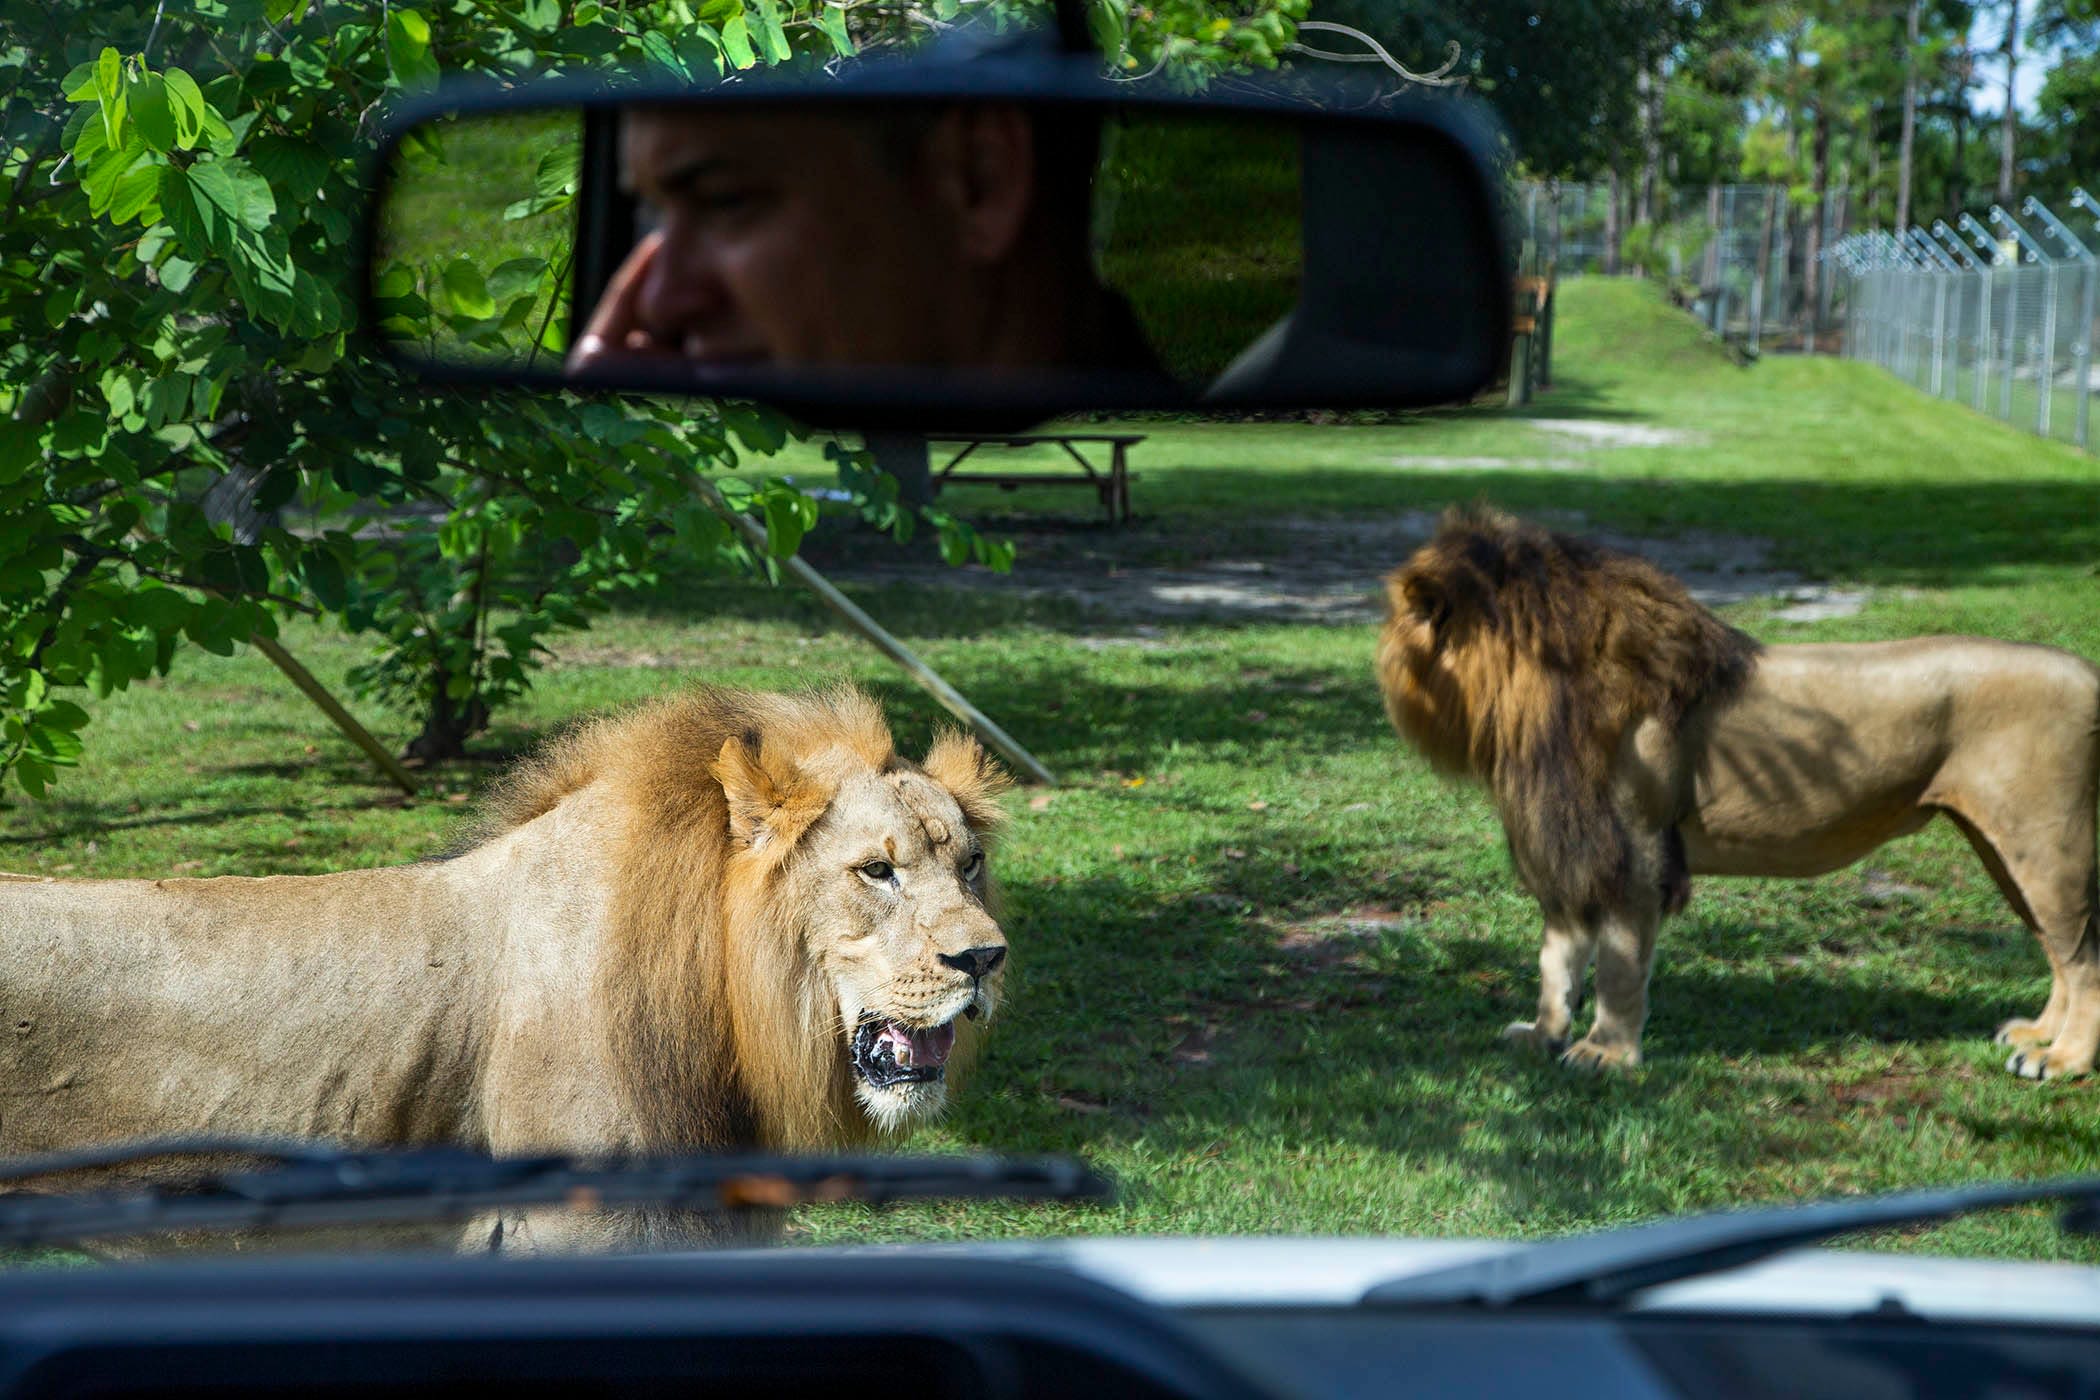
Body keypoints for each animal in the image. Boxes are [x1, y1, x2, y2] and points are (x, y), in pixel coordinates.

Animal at [1377, 510, 2100, 1083]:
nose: (1378, 660)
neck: (1525, 705)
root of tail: (2088, 673)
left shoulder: (1635, 857)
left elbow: (1617, 971)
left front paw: (1606, 1055)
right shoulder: (1573, 852)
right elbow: (1556, 963)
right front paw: (1543, 1036)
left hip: (2045, 848)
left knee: (2083, 958)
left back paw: (2062, 1061)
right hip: (2005, 853)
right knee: (2060, 955)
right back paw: (2038, 1037)